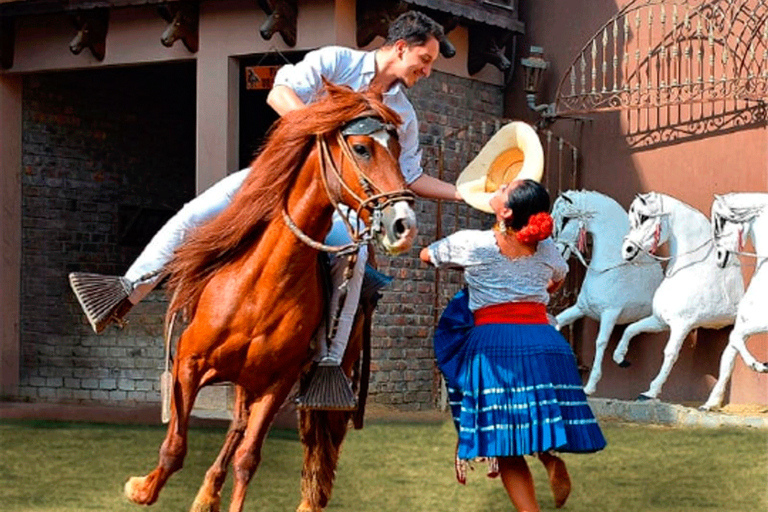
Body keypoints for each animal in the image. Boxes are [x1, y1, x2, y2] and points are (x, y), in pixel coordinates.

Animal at [123, 84, 416, 512]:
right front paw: (142, 488)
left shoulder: (277, 383)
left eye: (397, 148)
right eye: (362, 148)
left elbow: (248, 458)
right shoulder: (189, 363)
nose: (403, 225)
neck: (261, 287)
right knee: (234, 427)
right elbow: (175, 446)